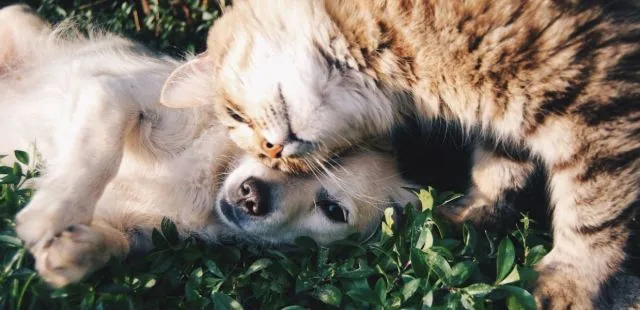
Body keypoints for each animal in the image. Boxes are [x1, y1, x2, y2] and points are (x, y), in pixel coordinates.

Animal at [159, 1, 640, 308]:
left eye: (236, 115)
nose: (274, 151)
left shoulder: (596, 97)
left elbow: (593, 212)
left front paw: (570, 283)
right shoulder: (509, 112)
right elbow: (498, 169)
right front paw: (468, 215)